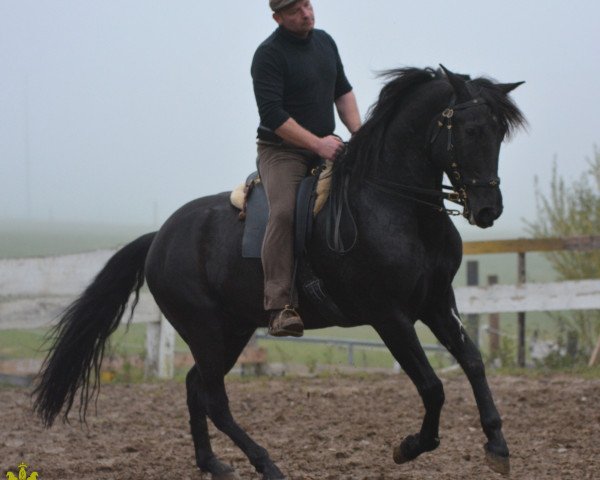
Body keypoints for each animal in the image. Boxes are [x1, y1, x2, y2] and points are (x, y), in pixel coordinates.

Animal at [35, 65, 528, 478]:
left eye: (500, 133)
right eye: (470, 129)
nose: (488, 208)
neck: (398, 206)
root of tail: (159, 236)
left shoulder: (437, 301)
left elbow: (473, 362)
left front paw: (497, 445)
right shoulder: (389, 315)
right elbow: (432, 386)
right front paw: (409, 447)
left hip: (231, 330)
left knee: (196, 387)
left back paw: (213, 464)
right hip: (207, 331)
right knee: (213, 397)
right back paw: (266, 464)